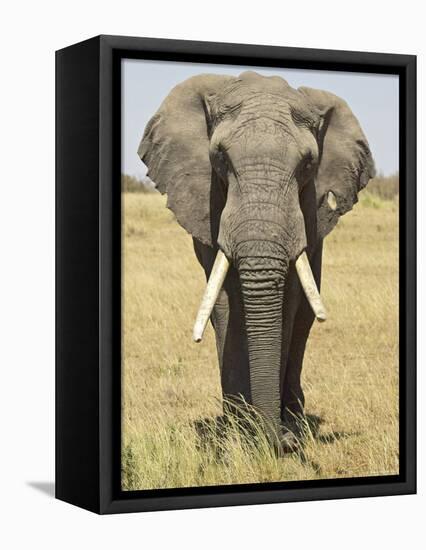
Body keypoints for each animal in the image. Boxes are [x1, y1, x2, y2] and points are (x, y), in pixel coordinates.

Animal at [138, 71, 374, 454]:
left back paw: (292, 416)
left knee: (304, 316)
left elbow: (288, 301)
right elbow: (223, 301)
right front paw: (240, 430)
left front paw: (273, 430)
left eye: (308, 163)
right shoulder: (209, 202)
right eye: (219, 157)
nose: (286, 443)